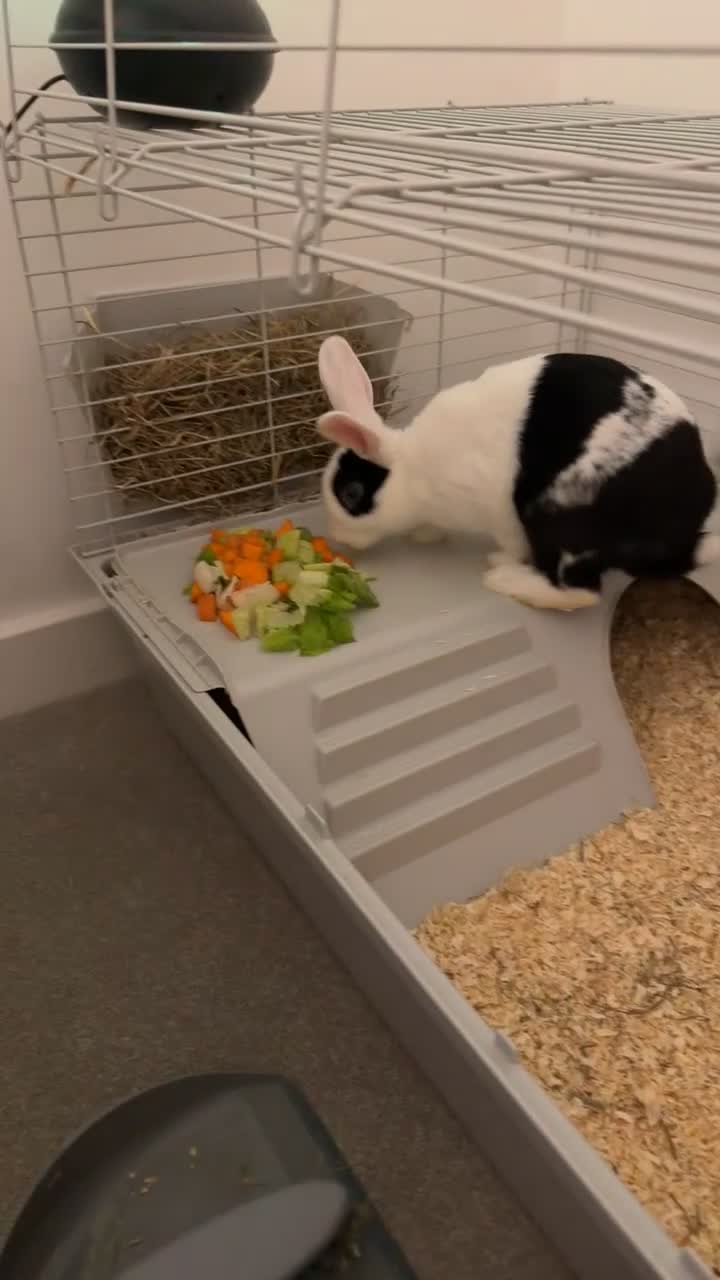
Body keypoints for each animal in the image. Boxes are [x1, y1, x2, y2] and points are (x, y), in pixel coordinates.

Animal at [315, 335, 720, 611]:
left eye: (351, 494)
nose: (339, 538)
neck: (416, 467)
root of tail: (681, 532)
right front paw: (426, 535)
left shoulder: (500, 513)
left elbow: (512, 543)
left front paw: (502, 561)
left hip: (558, 520)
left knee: (581, 591)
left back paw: (504, 578)